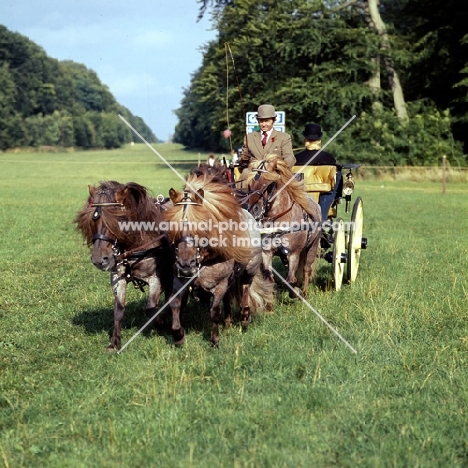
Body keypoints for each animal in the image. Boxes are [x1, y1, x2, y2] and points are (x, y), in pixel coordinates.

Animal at [74, 181, 173, 350]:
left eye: (117, 220)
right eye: (93, 220)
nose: (99, 259)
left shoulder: (156, 279)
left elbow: (150, 308)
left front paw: (162, 322)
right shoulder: (117, 278)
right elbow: (119, 309)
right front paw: (114, 342)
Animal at [163, 170, 272, 346]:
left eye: (201, 226)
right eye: (173, 227)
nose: (185, 266)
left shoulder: (220, 284)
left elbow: (214, 311)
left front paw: (214, 339)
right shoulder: (180, 281)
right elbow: (175, 303)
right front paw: (178, 335)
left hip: (250, 268)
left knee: (246, 288)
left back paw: (245, 316)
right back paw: (228, 321)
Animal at [238, 155, 322, 298]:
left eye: (268, 184)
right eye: (249, 184)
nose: (254, 209)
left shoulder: (294, 254)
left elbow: (290, 280)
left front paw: (295, 291)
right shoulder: (267, 252)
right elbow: (269, 277)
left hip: (313, 245)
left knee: (306, 268)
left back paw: (305, 292)